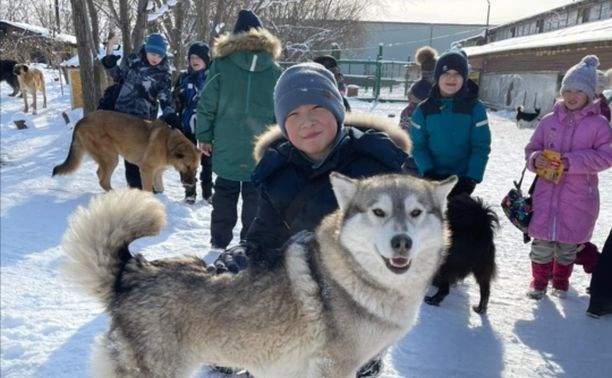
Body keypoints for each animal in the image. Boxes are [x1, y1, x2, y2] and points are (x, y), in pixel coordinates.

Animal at [52, 109, 201, 192]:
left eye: (196, 168)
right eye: (187, 166)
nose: (192, 183)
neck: (167, 144)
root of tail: (81, 120)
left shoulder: (158, 172)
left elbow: (160, 187)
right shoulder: (146, 170)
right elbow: (148, 190)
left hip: (109, 158)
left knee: (100, 175)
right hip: (111, 158)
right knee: (102, 179)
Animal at [62, 173, 456, 378]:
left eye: (416, 213)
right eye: (379, 212)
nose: (402, 242)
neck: (350, 276)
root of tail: (130, 272)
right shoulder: (333, 366)